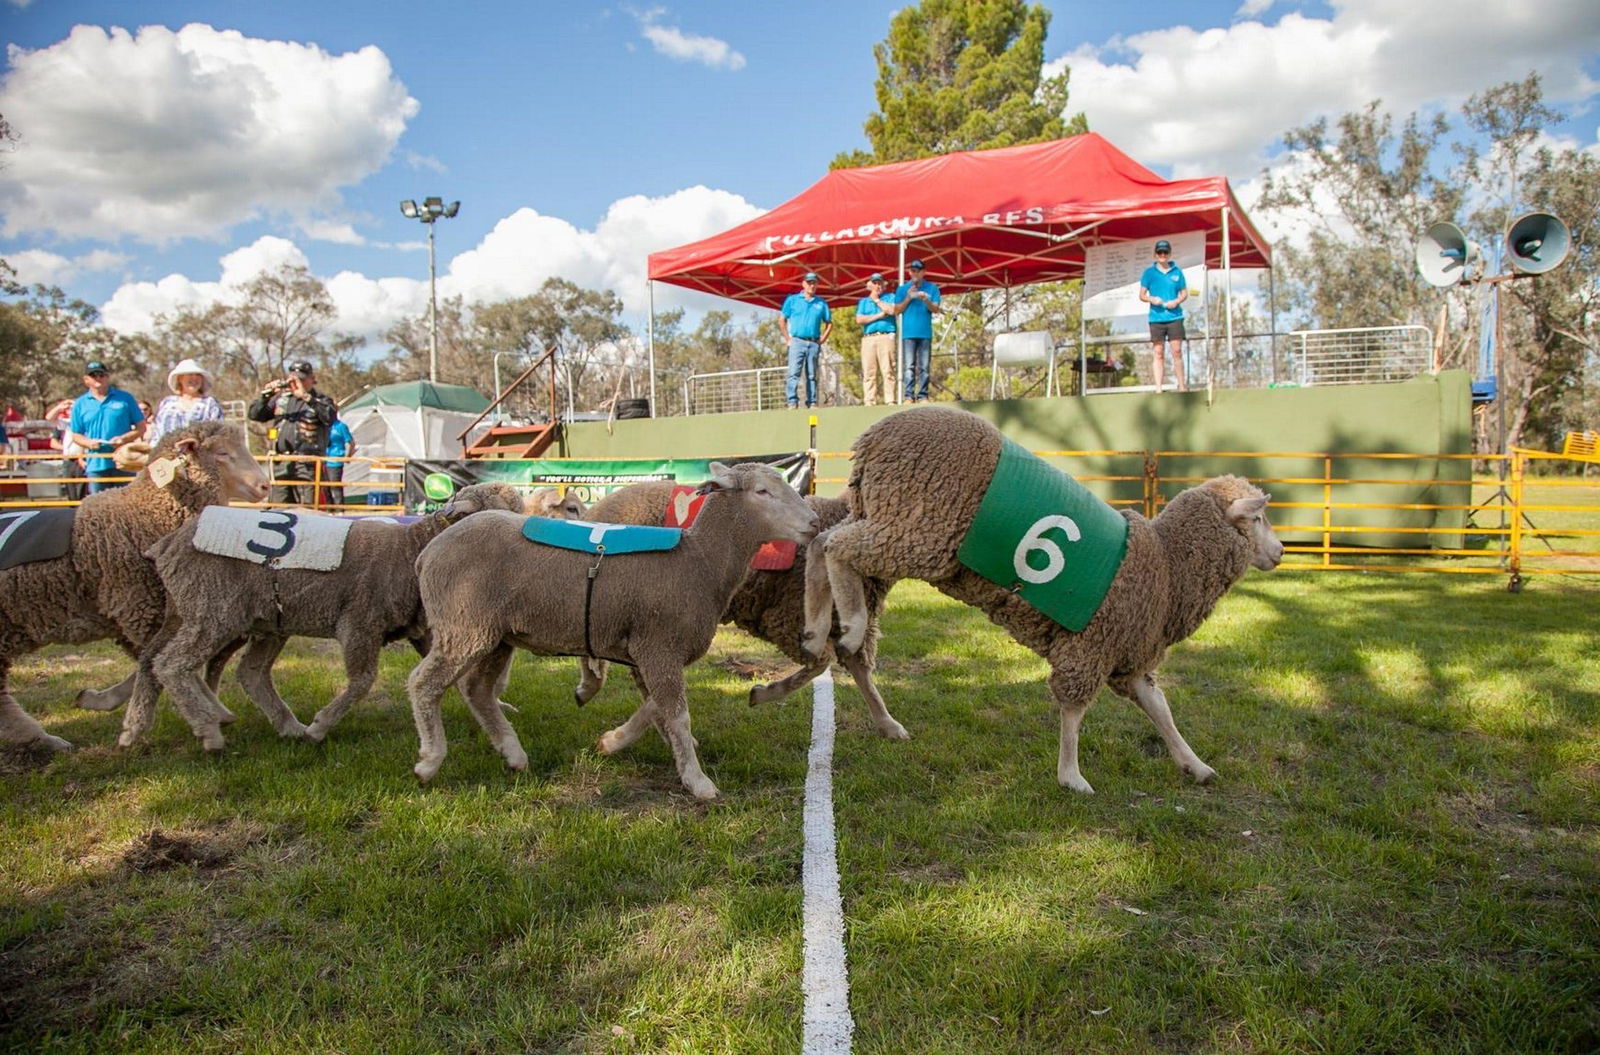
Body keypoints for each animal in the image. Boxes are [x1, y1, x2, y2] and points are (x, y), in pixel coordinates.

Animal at [0, 419, 268, 752]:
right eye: (221, 452)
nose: (265, 486)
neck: (145, 513)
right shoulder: (138, 609)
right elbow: (159, 664)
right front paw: (214, 711)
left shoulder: (147, 614)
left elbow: (150, 665)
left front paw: (98, 700)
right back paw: (42, 738)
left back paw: (42, 738)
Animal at [412, 461, 819, 800]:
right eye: (762, 491)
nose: (814, 523)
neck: (701, 561)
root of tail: (428, 551)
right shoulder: (658, 645)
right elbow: (676, 714)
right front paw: (698, 781)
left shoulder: (651, 650)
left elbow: (656, 708)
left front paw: (612, 742)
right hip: (464, 625)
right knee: (423, 685)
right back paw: (429, 761)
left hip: (494, 634)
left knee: (476, 690)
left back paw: (513, 755)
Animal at [579, 480, 908, 739]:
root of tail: (598, 510)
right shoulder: (789, 618)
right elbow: (819, 664)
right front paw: (763, 693)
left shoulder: (846, 624)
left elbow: (861, 674)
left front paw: (889, 725)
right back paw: (594, 690)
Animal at [800, 408, 1286, 797]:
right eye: (1259, 518)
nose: (1281, 552)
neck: (1169, 566)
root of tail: (873, 437)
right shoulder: (1091, 646)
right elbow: (1074, 710)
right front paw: (1072, 776)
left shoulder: (1128, 657)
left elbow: (1161, 711)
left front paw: (1194, 764)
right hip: (917, 533)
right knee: (837, 548)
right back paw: (852, 627)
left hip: (885, 519)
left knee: (822, 544)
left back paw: (818, 631)